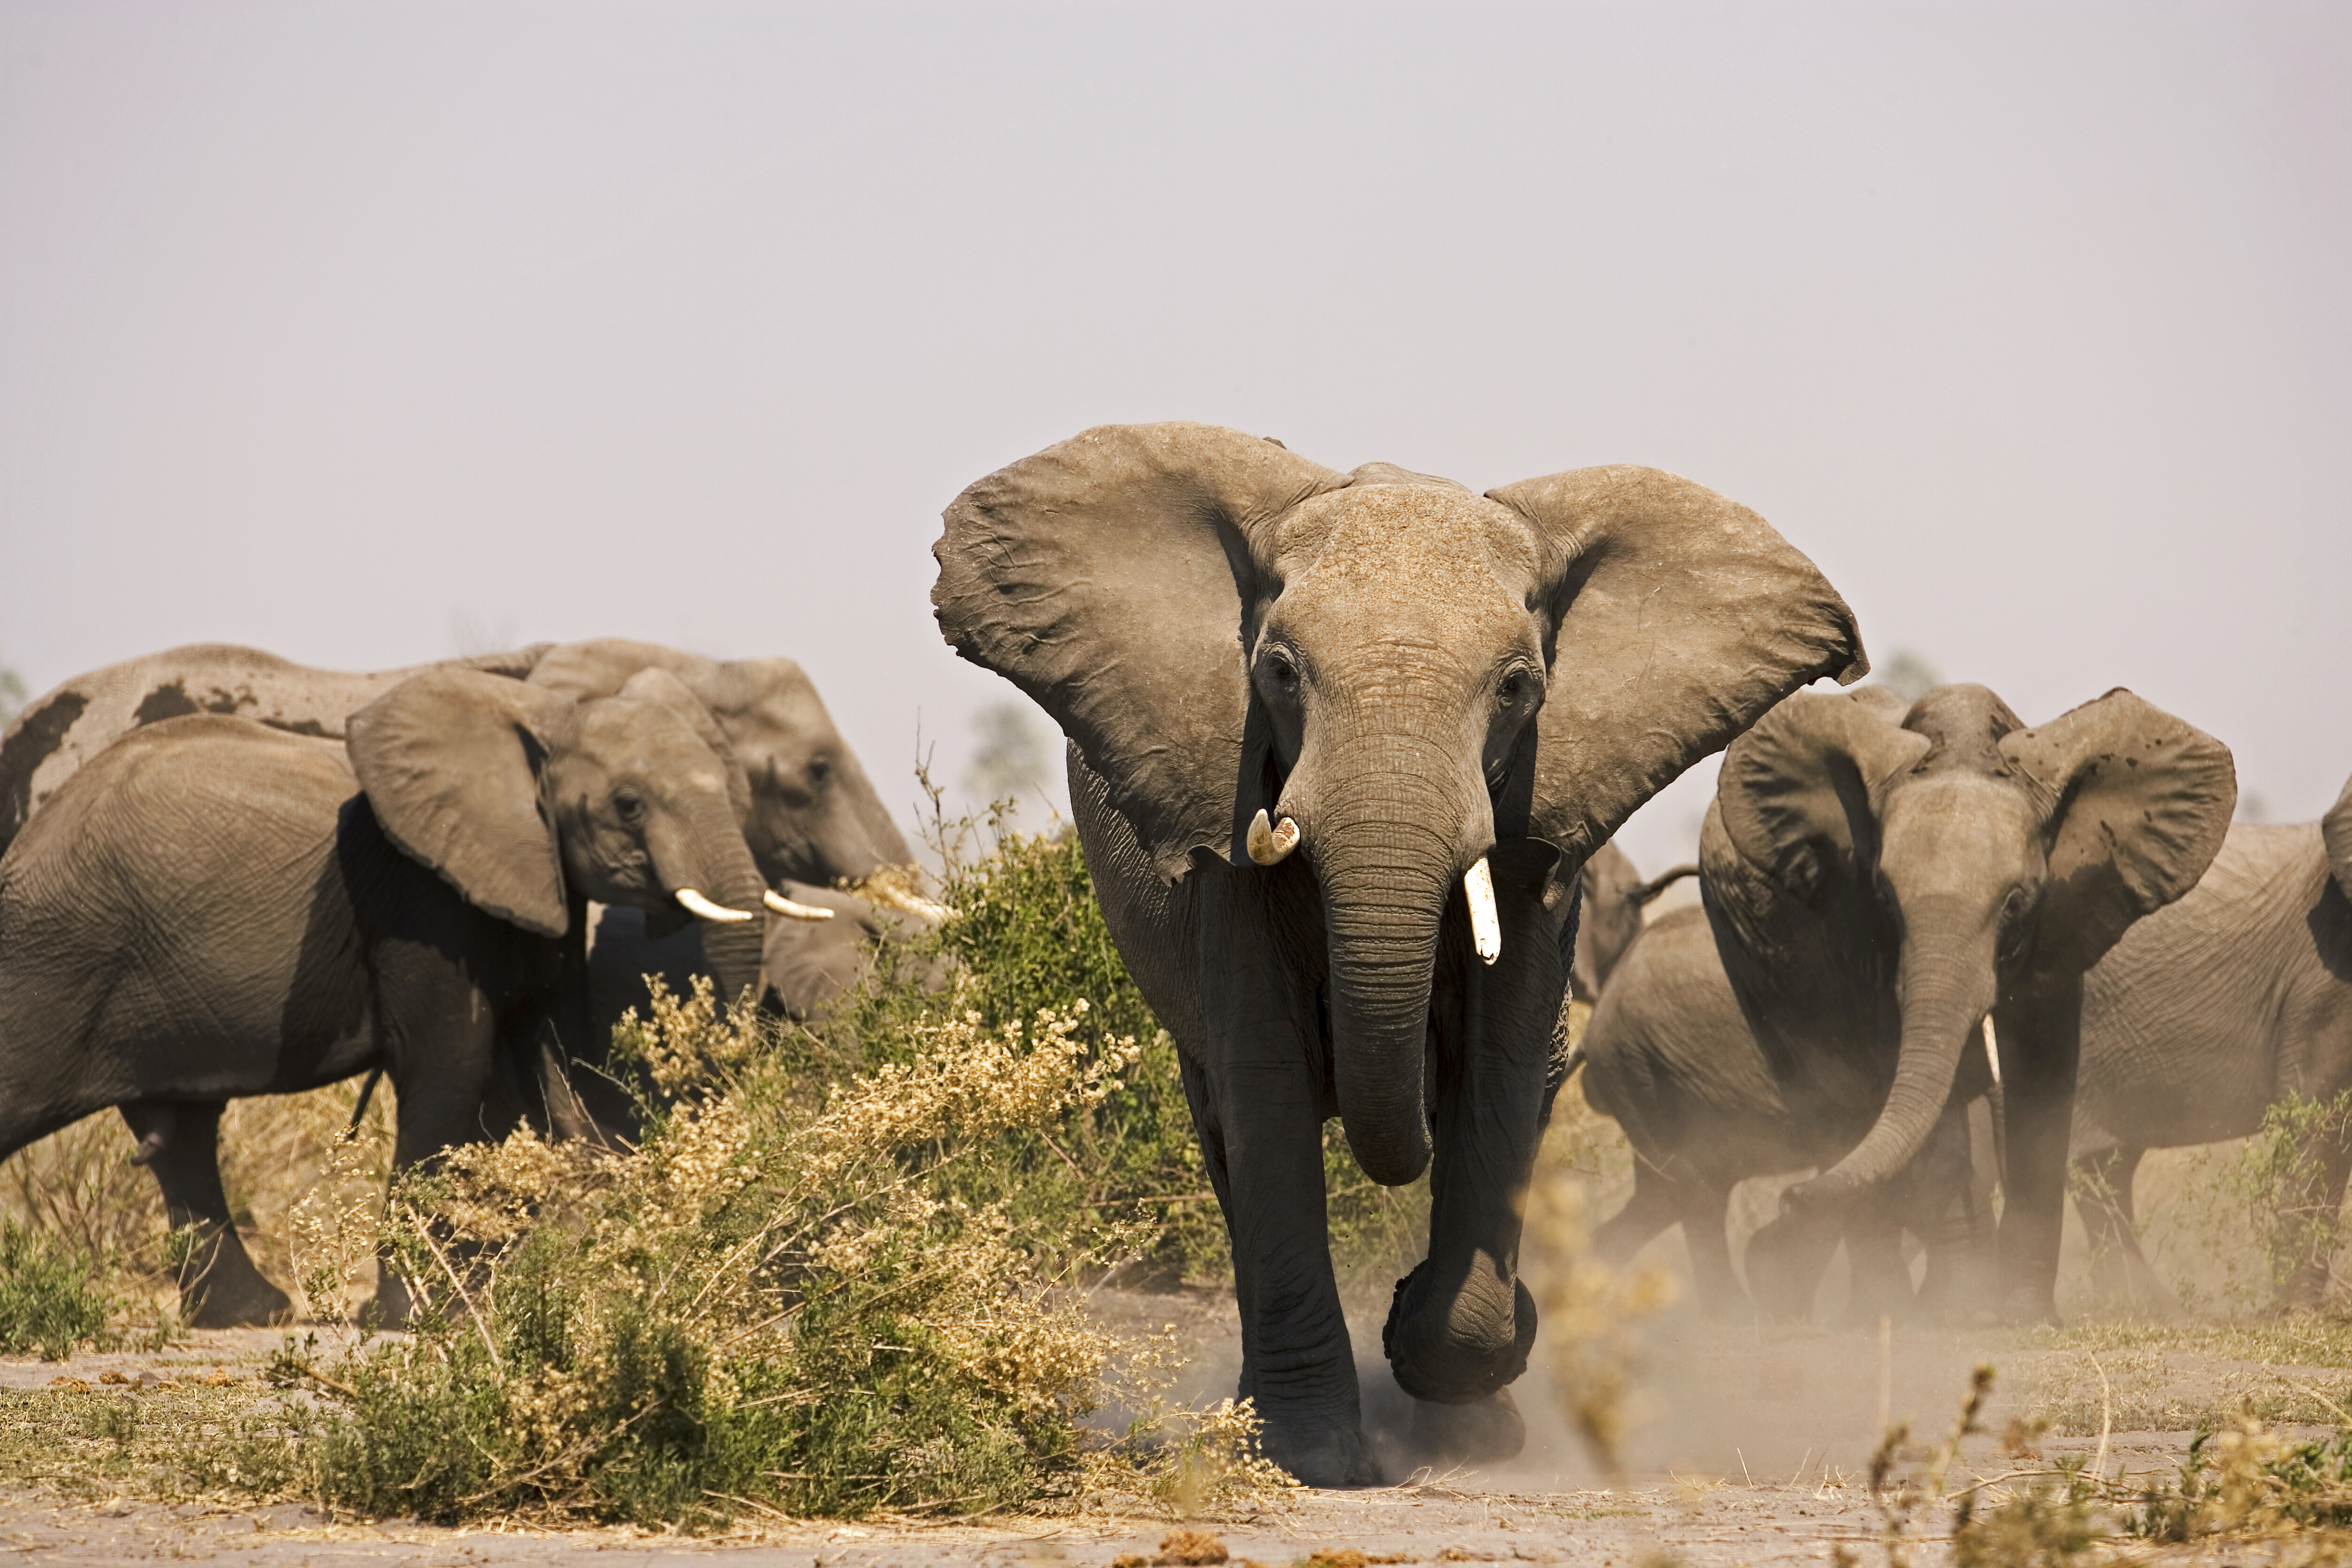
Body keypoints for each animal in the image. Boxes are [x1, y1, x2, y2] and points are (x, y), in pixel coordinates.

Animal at [0, 666, 771, 1327]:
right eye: (629, 806)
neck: (542, 720)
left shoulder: (538, 883)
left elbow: (551, 1066)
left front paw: (482, 1296)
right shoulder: (420, 898)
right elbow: (451, 1068)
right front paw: (423, 1317)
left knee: (184, 1134)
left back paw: (250, 1316)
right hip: (58, 951)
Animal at [931, 421, 1866, 1484]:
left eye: (1518, 687)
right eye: (1280, 673)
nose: (1405, 1293)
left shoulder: (1535, 839)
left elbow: (1500, 1074)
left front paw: (1461, 1398)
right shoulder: (1231, 826)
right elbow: (1268, 1087)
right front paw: (1318, 1454)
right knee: (1224, 1130)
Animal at [1695, 681, 2234, 1325]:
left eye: (2016, 902)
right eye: (1884, 896)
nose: (1787, 1203)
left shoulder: (2061, 921)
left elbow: (2042, 1088)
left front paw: (2025, 1316)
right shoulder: (1865, 942)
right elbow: (1927, 1107)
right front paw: (1951, 1315)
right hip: (1745, 950)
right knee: (1833, 1104)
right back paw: (1882, 1308)